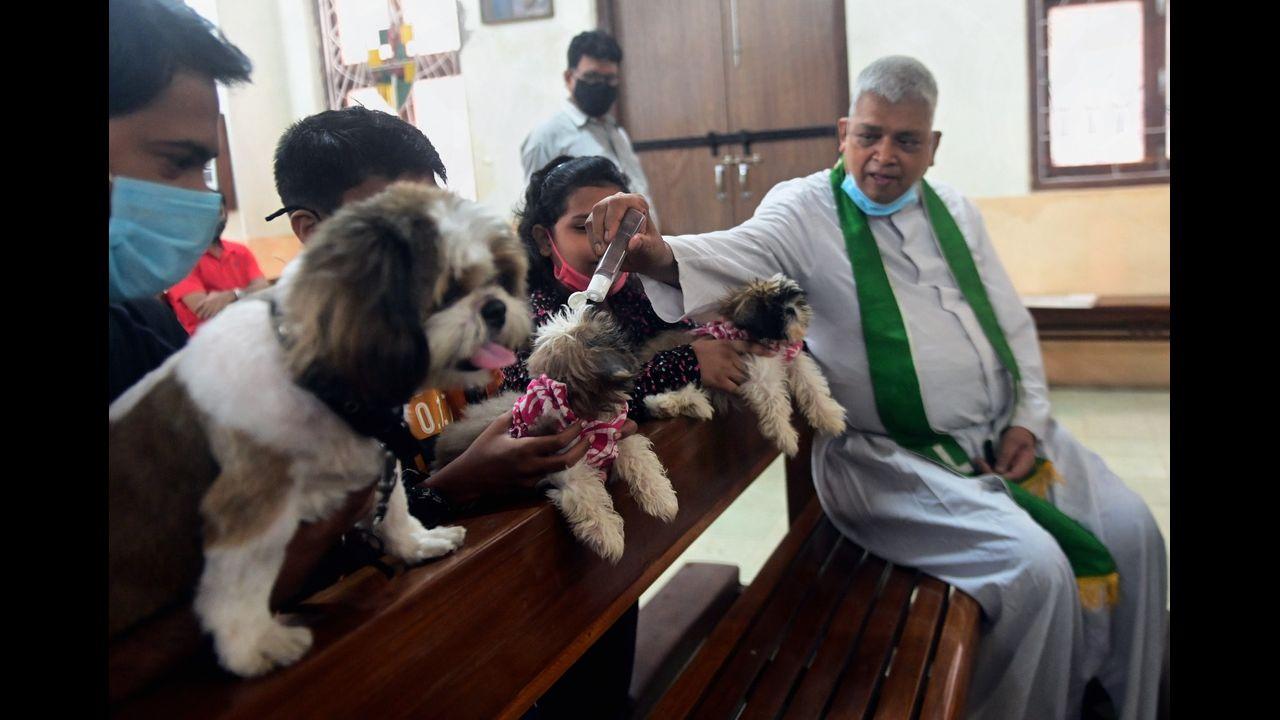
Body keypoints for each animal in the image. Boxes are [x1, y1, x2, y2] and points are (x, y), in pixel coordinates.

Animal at [107, 181, 529, 676]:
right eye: (449, 290)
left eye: (498, 280)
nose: (497, 307)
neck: (318, 384)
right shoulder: (251, 502)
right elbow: (242, 581)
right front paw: (253, 644)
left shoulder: (379, 457)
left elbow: (395, 508)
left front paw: (417, 543)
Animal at [435, 302, 680, 561]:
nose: (626, 333)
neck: (583, 417)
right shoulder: (568, 470)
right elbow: (587, 497)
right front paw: (609, 538)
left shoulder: (617, 436)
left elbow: (640, 460)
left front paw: (663, 499)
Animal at [645, 272, 844, 453]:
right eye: (770, 307)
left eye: (793, 299)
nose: (790, 309)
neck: (772, 341)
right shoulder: (759, 373)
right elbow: (774, 401)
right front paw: (785, 436)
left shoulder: (793, 360)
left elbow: (812, 385)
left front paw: (829, 417)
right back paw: (669, 404)